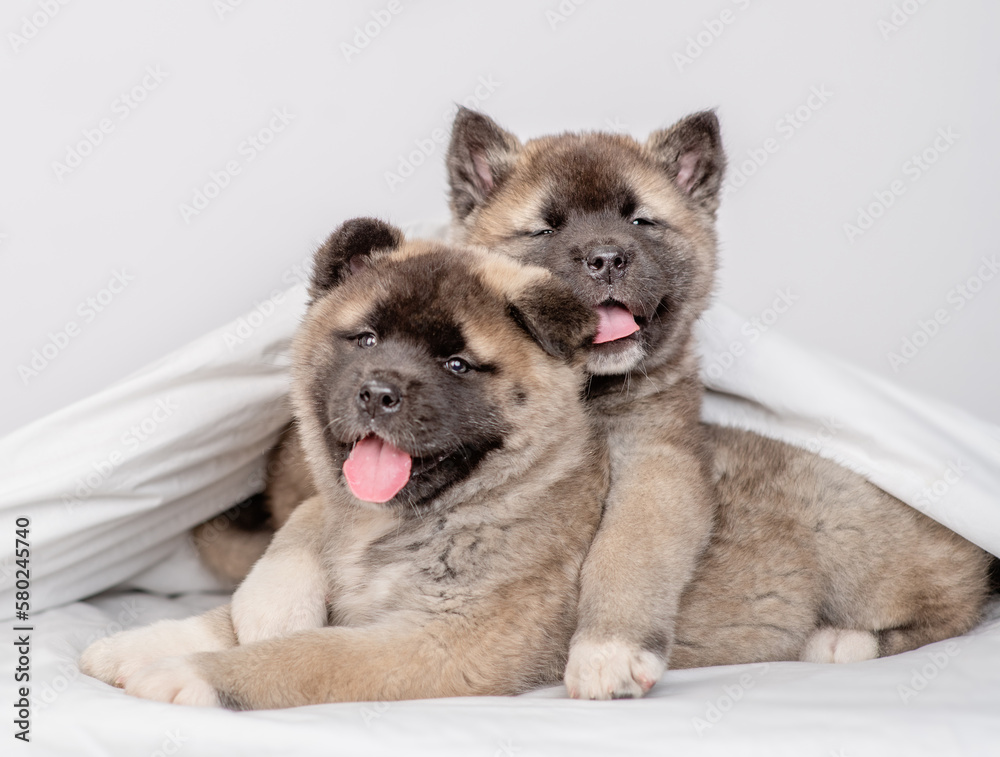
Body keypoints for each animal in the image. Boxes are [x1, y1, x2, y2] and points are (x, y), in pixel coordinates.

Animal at [80, 219, 608, 708]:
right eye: (367, 340)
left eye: (456, 364)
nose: (377, 394)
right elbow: (239, 602)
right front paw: (140, 645)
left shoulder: (450, 641)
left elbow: (310, 654)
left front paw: (190, 673)